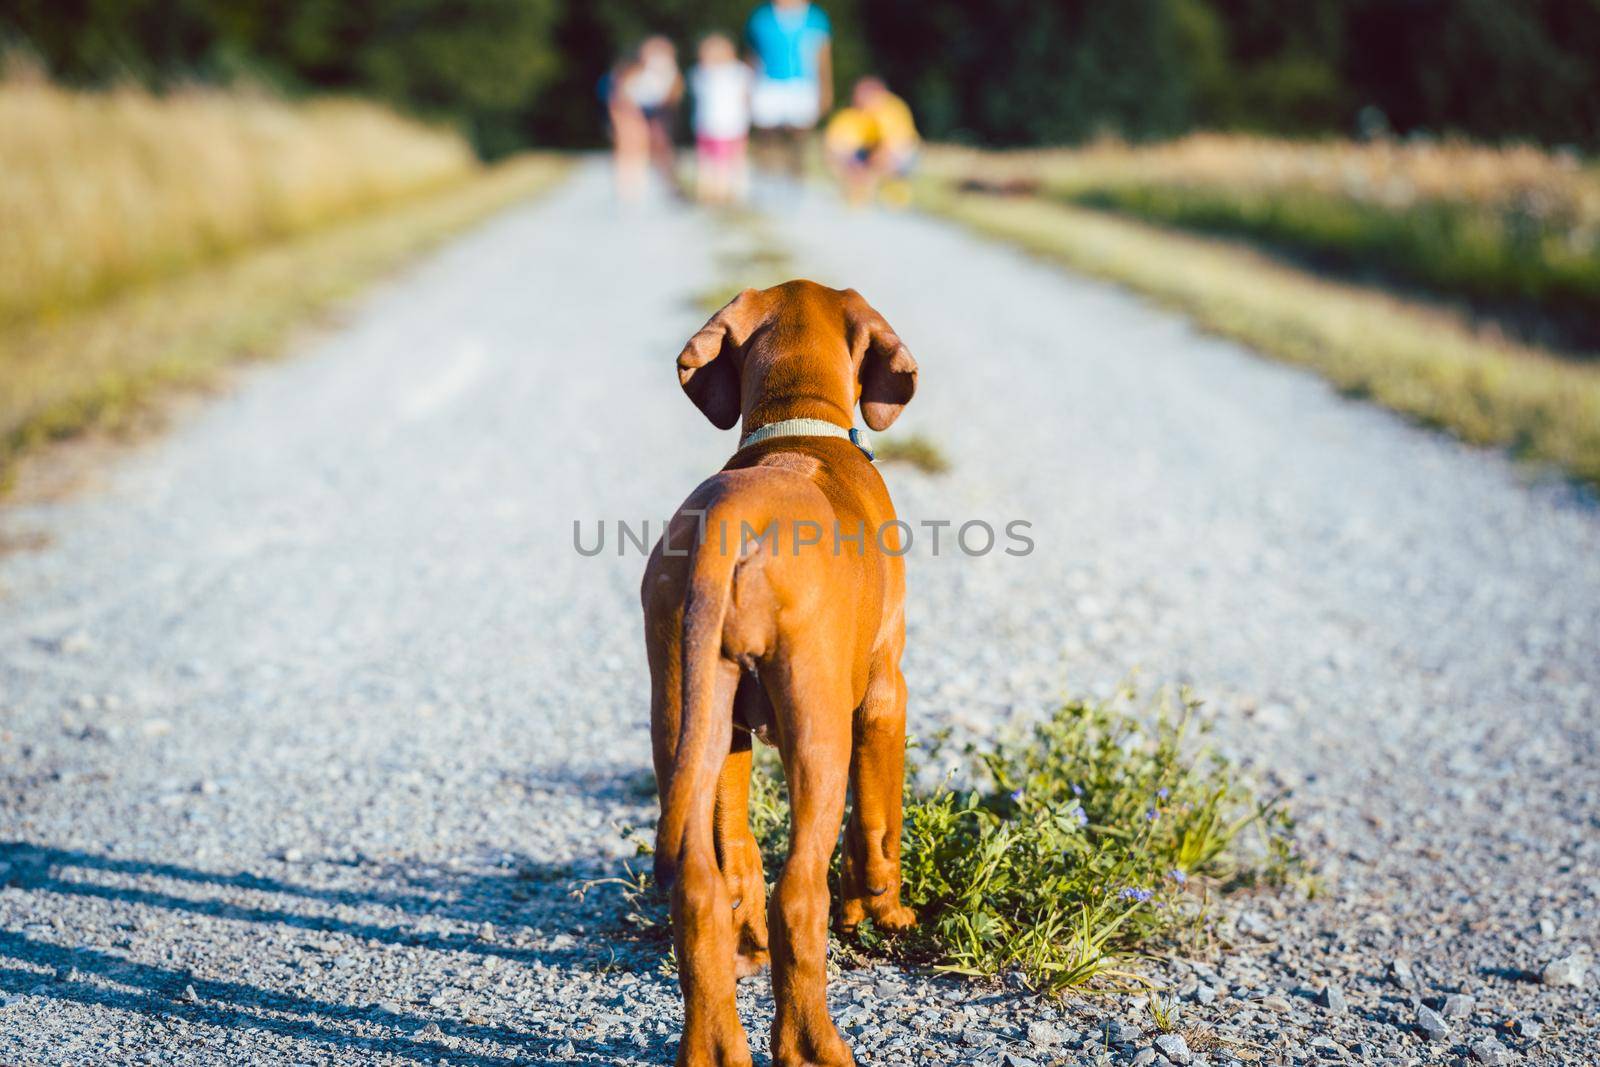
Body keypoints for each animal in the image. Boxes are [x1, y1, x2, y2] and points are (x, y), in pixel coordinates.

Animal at [643, 283, 921, 1067]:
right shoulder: (884, 695)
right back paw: (815, 1044)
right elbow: (877, 823)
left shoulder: (734, 730)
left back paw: (712, 1046)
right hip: (818, 727)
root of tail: (730, 521)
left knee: (697, 891)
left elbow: (735, 848)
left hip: (684, 714)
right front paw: (885, 911)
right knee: (798, 893)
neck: (798, 428)